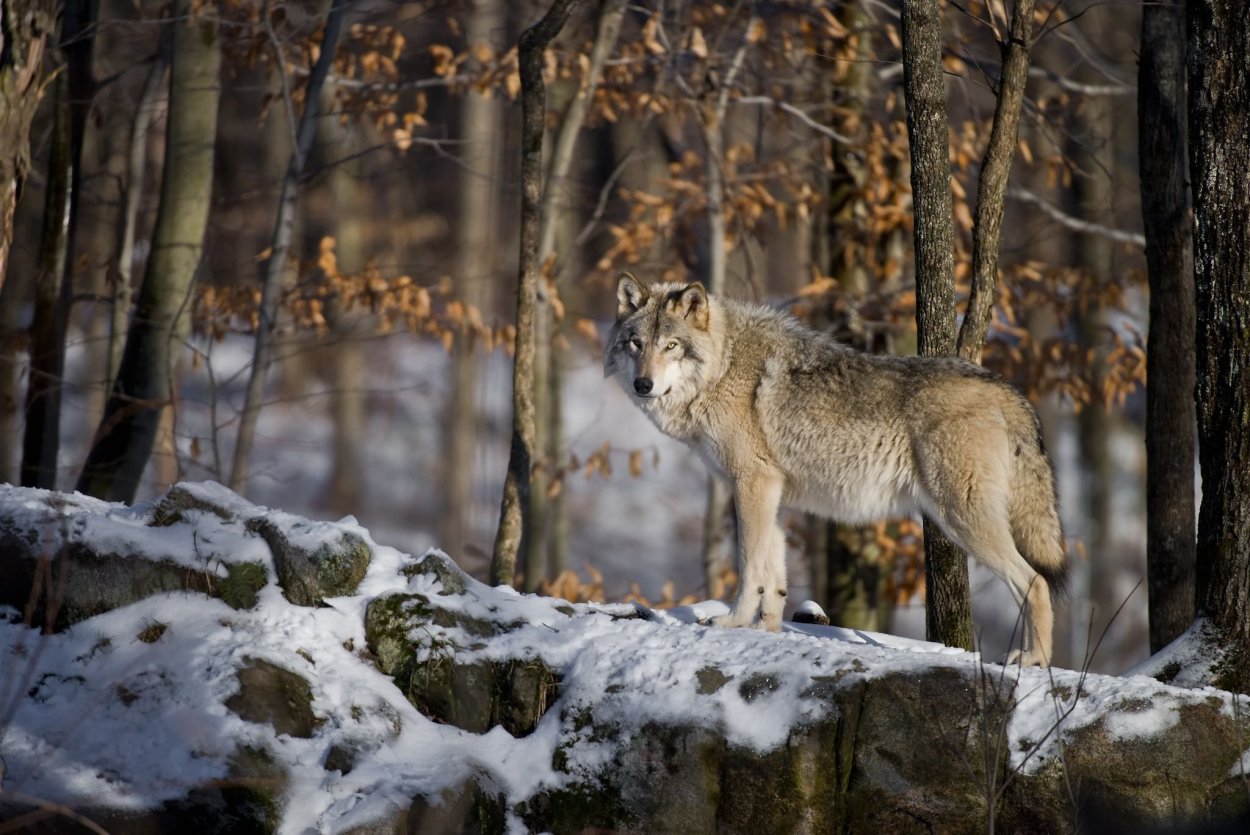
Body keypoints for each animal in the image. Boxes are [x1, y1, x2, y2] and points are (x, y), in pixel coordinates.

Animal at [602, 273, 1065, 665]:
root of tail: (1004, 389)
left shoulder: (751, 484)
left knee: (1036, 582)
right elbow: (773, 576)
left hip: (961, 518)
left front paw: (733, 622)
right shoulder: (773, 495)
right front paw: (767, 632)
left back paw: (1034, 662)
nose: (643, 385)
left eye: (671, 346)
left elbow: (749, 566)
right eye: (636, 344)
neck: (723, 367)